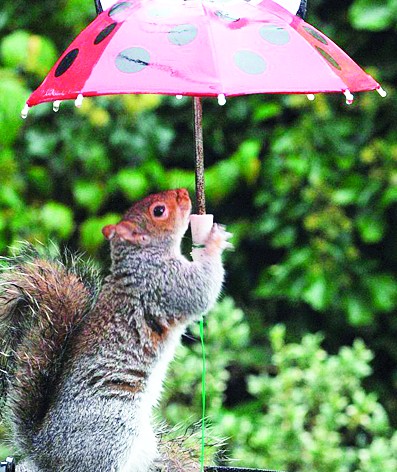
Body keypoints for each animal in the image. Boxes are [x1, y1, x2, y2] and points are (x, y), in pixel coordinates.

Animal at [0, 189, 230, 472]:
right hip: (114, 428)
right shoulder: (165, 284)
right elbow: (202, 291)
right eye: (159, 211)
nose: (184, 193)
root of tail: (44, 451)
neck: (141, 257)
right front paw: (213, 241)